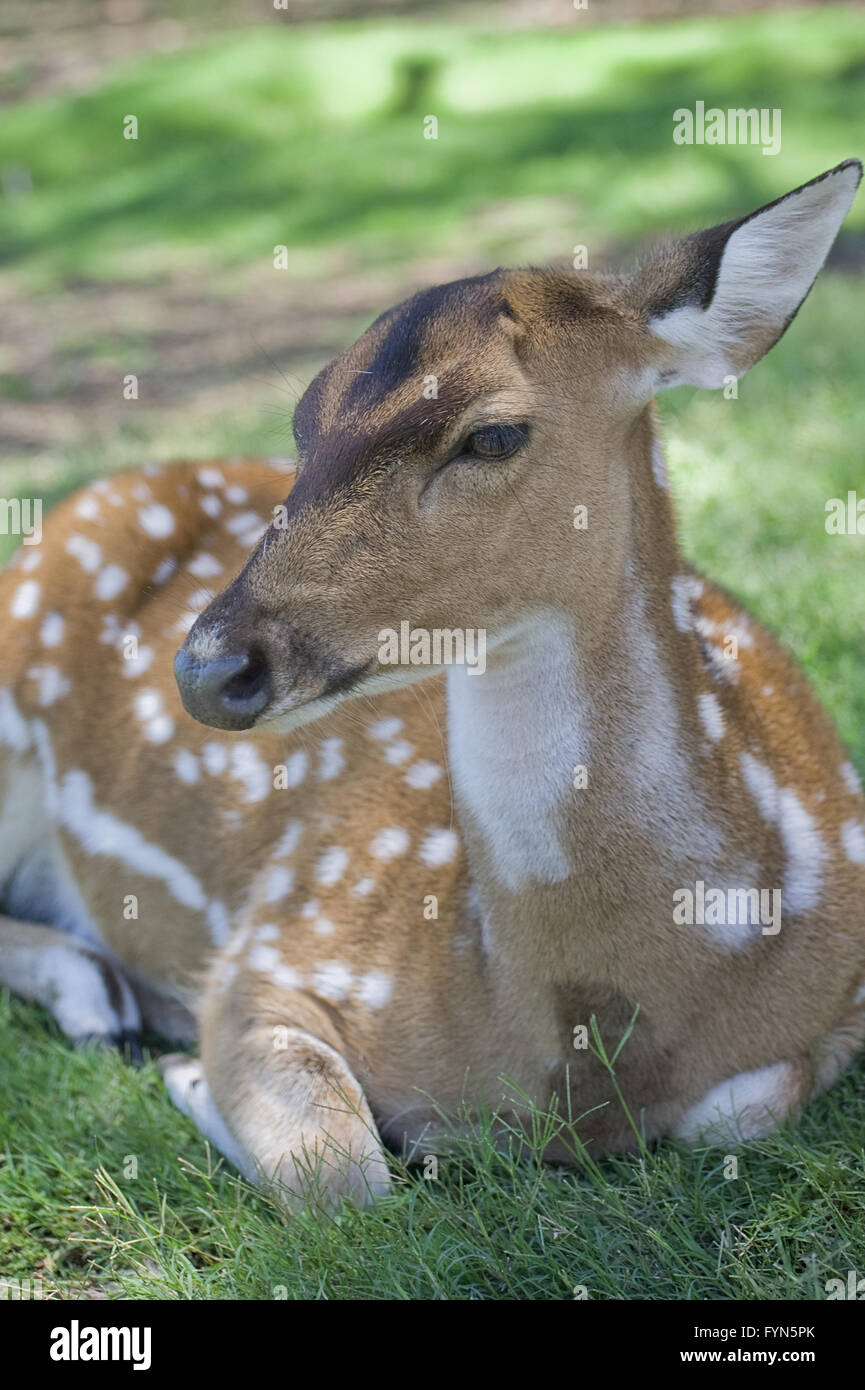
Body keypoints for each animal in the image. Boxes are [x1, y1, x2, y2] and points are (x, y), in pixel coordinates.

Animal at [1, 160, 864, 1210]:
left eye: (492, 436)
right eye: (303, 425)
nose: (208, 668)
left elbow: (730, 1113)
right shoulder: (274, 940)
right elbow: (344, 1174)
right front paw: (192, 1068)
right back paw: (102, 1001)